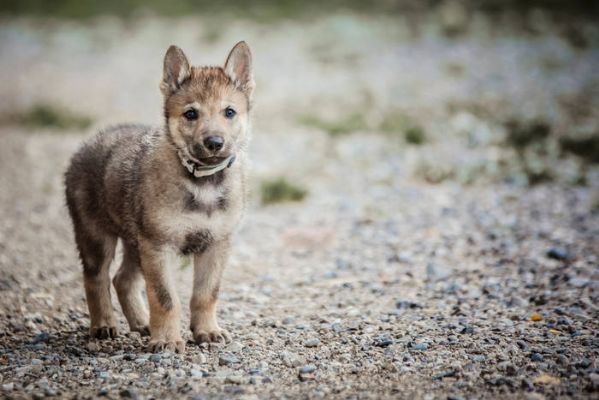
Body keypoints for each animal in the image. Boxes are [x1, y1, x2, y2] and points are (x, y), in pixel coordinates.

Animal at [65, 42, 253, 352]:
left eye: (229, 112)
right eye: (191, 114)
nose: (214, 143)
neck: (202, 183)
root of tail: (87, 144)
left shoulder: (216, 244)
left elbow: (206, 294)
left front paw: (207, 331)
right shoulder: (159, 246)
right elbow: (165, 298)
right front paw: (166, 340)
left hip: (134, 242)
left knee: (122, 279)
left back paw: (142, 322)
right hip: (96, 236)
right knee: (96, 278)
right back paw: (103, 324)